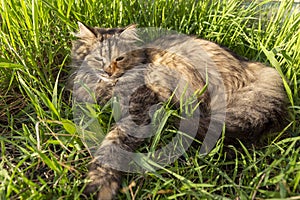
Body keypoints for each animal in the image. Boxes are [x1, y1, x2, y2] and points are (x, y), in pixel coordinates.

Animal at [67, 21, 288, 198]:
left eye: (119, 58)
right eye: (98, 59)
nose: (108, 71)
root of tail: (254, 72)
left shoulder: (137, 109)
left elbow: (112, 143)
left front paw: (100, 182)